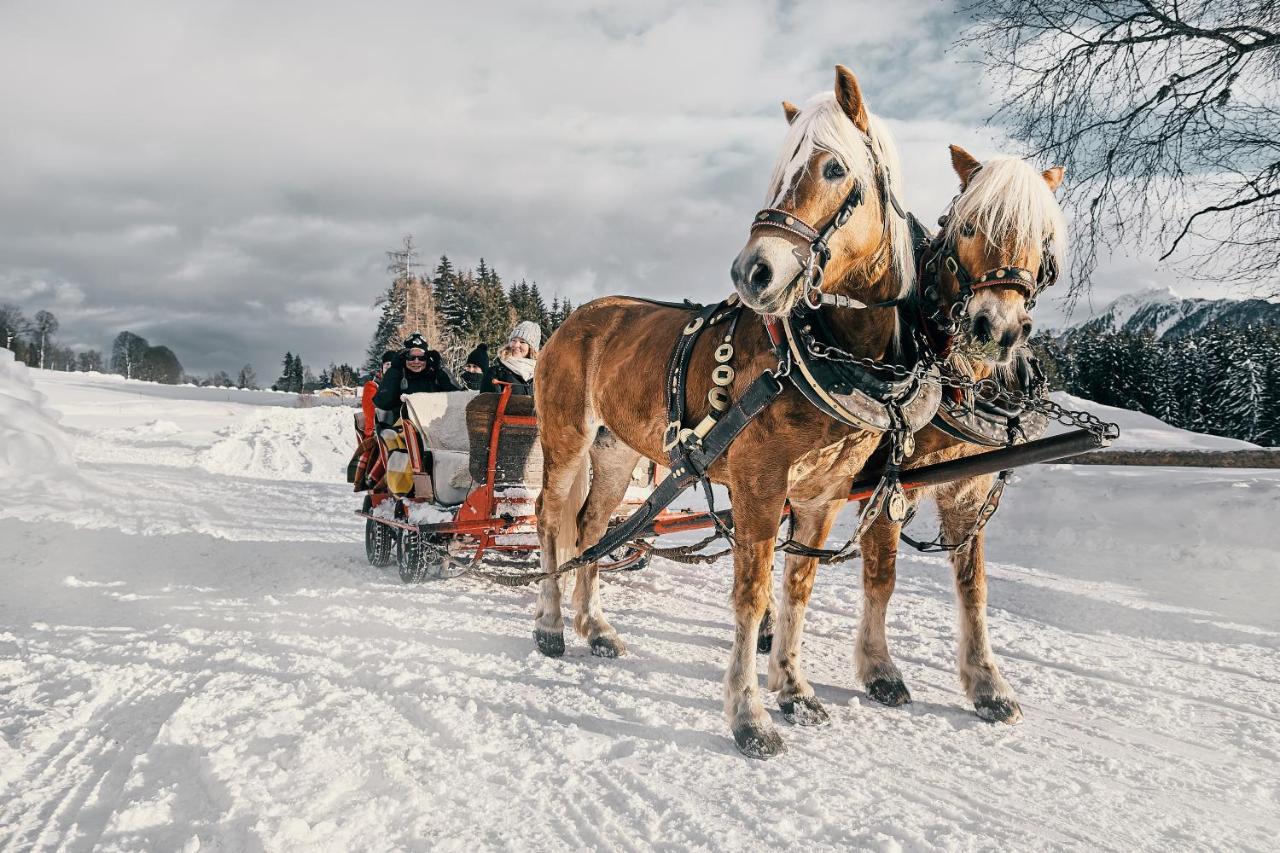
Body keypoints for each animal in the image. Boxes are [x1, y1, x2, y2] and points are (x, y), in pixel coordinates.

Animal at [532, 68, 921, 758]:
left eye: (834, 168)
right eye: (778, 170)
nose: (752, 271)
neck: (820, 355)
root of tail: (574, 320)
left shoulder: (822, 495)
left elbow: (797, 589)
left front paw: (794, 690)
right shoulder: (759, 484)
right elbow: (752, 594)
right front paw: (749, 715)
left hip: (616, 452)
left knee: (593, 528)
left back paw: (596, 626)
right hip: (567, 440)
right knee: (554, 521)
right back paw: (552, 624)